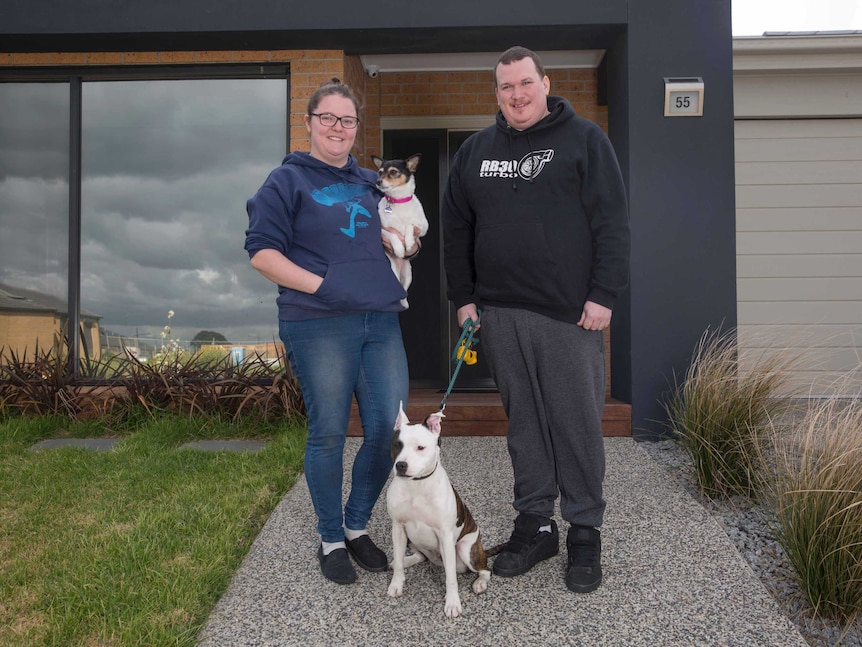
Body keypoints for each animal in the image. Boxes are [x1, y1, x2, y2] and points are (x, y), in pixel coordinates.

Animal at [372, 154, 428, 312]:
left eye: (393, 172)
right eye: (379, 172)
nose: (378, 181)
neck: (398, 202)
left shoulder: (422, 227)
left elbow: (409, 226)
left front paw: (408, 243)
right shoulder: (382, 230)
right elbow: (393, 234)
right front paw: (398, 249)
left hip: (408, 274)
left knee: (405, 291)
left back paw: (404, 303)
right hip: (394, 274)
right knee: (399, 290)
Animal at [386, 402, 502, 620]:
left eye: (420, 447)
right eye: (397, 444)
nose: (401, 465)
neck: (417, 485)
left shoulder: (445, 536)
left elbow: (451, 578)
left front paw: (452, 603)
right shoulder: (398, 527)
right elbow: (397, 563)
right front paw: (396, 583)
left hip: (465, 549)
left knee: (485, 570)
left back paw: (480, 583)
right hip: (412, 539)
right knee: (420, 556)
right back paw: (406, 560)